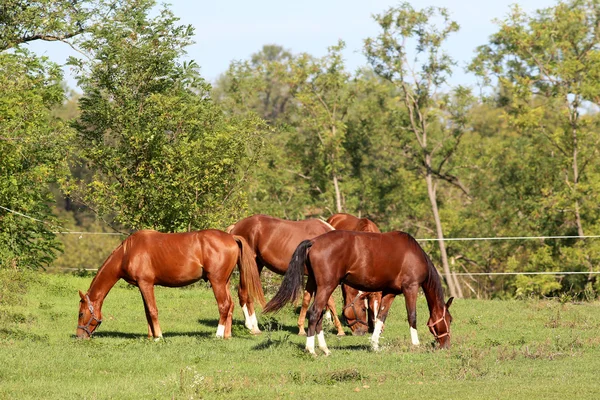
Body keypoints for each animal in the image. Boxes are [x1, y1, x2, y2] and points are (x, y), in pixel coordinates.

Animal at [76, 230, 264, 340]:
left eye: (81, 313)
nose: (79, 336)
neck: (127, 252)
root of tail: (231, 237)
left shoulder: (146, 284)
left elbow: (152, 310)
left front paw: (159, 337)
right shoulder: (142, 286)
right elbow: (147, 311)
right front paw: (151, 336)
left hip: (216, 281)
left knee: (224, 305)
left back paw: (218, 335)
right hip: (224, 282)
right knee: (230, 305)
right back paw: (227, 335)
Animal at [264, 231, 452, 356]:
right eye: (449, 320)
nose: (446, 344)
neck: (413, 254)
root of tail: (314, 242)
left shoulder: (390, 292)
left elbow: (381, 317)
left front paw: (375, 345)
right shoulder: (410, 288)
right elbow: (412, 316)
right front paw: (416, 344)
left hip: (315, 285)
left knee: (317, 316)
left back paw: (324, 349)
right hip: (327, 286)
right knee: (315, 313)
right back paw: (311, 350)